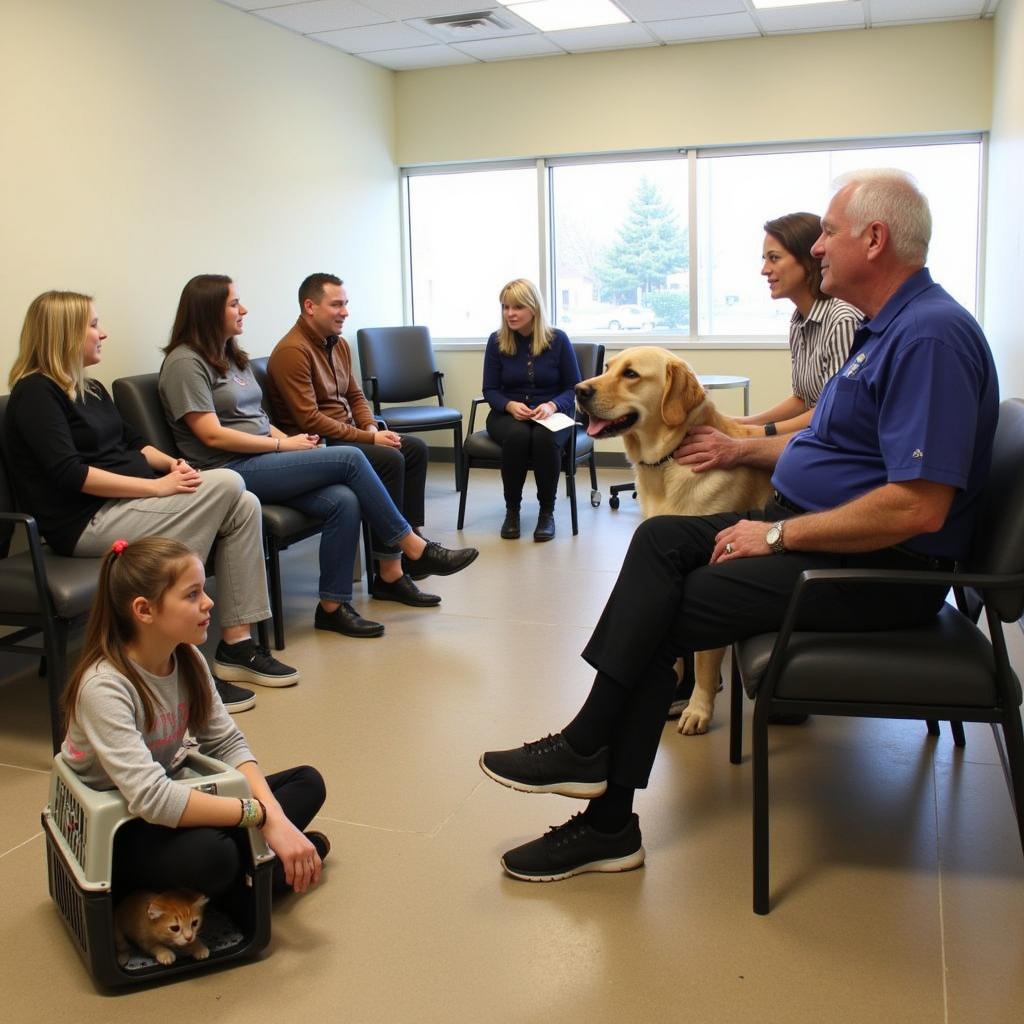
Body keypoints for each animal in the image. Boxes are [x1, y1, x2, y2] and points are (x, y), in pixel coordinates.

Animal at [577, 348, 770, 733]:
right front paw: (674, 690)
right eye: (606, 368)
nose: (579, 390)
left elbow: (705, 658)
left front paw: (698, 709)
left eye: (631, 374)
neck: (666, 465)